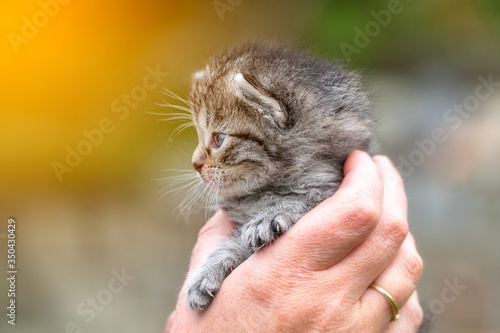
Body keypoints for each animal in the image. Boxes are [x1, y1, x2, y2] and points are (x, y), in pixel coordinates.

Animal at [187, 42, 376, 310]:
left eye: (219, 138)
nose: (195, 164)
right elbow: (233, 244)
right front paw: (206, 273)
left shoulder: (330, 183)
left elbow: (303, 200)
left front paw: (270, 216)